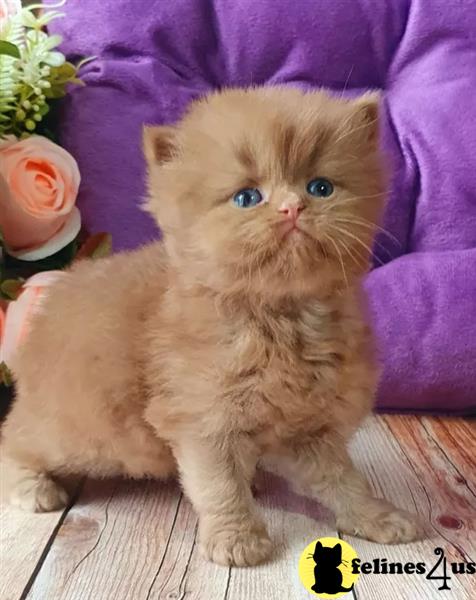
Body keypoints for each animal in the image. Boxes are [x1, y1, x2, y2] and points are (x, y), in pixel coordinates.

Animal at [0, 86, 418, 564]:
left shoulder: (307, 430)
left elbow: (343, 481)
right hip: (78, 432)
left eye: (320, 187)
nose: (292, 207)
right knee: (14, 437)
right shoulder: (203, 422)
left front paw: (376, 516)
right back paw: (32, 487)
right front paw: (237, 539)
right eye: (247, 198)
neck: (281, 321)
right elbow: (220, 487)